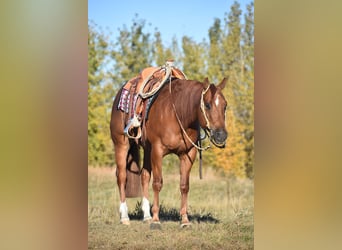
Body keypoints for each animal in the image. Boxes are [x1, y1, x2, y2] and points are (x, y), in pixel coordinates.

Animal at [109, 77, 228, 228]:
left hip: (147, 149)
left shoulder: (188, 154)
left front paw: (184, 220)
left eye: (225, 106)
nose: (221, 135)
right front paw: (156, 220)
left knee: (144, 176)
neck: (177, 113)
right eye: (207, 105)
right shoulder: (157, 151)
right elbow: (157, 183)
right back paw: (125, 217)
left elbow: (184, 186)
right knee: (122, 177)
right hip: (121, 144)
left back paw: (146, 216)